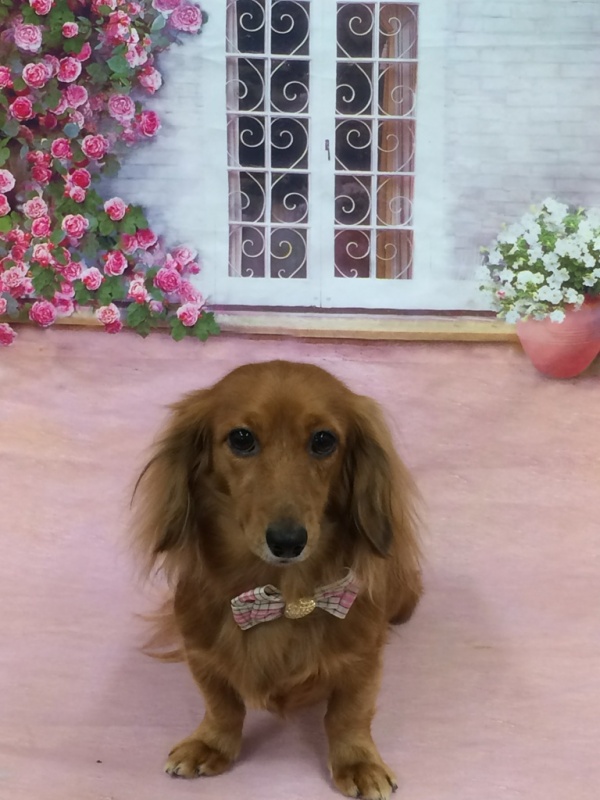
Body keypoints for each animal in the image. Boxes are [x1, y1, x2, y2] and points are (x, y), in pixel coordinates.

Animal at [132, 360, 422, 799]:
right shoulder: (202, 654)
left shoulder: (363, 660)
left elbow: (348, 715)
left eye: (323, 440)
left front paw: (358, 763)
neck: (284, 596)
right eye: (242, 438)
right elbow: (223, 706)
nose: (288, 542)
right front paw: (210, 744)